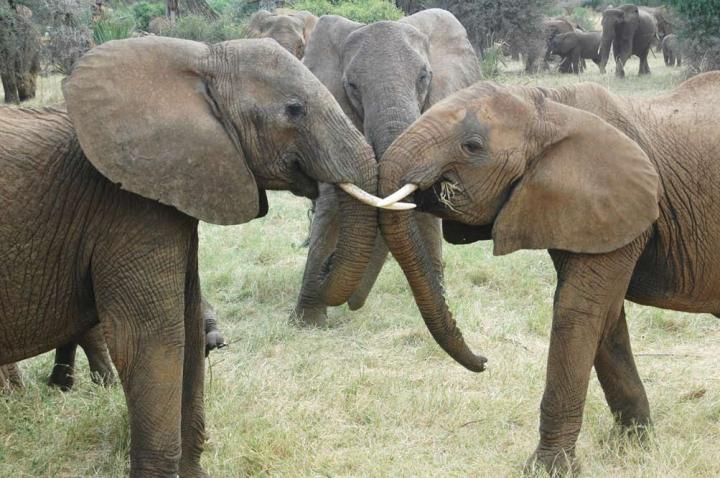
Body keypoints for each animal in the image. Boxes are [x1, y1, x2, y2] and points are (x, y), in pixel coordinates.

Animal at [0, 36, 382, 477]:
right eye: (294, 109)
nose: (327, 271)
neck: (199, 61)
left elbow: (187, 323)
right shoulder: (126, 204)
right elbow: (150, 339)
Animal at [376, 72, 720, 475]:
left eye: (472, 146)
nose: (484, 362)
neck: (549, 104)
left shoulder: (615, 201)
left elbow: (578, 312)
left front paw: (548, 468)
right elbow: (605, 318)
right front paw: (633, 447)